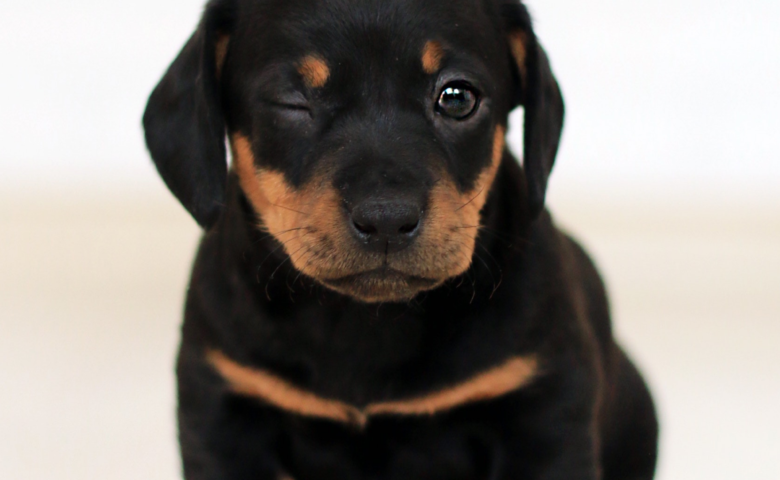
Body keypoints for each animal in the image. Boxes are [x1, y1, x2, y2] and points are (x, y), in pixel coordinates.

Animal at [142, 0, 660, 476]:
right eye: (291, 101)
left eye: (457, 97)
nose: (386, 219)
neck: (367, 323)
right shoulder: (222, 412)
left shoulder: (544, 410)